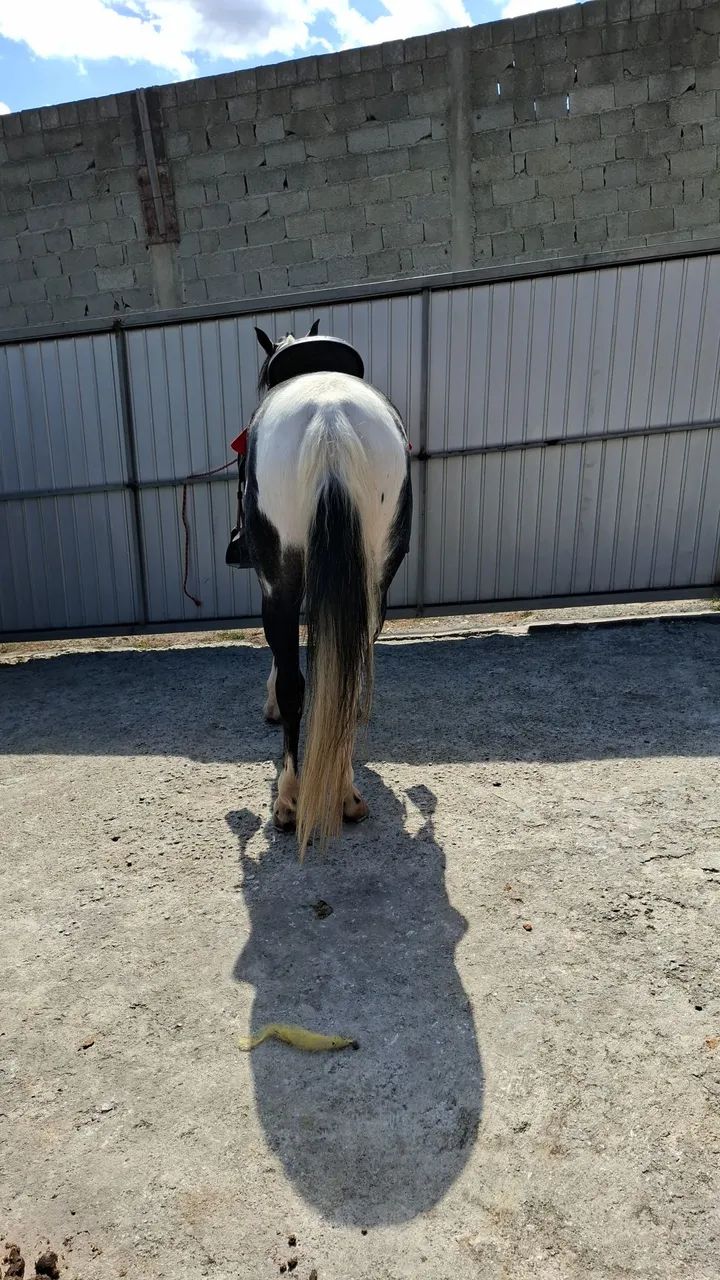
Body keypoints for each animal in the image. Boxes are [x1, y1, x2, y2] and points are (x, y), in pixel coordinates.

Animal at [243, 322, 413, 856]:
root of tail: (330, 422)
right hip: (374, 578)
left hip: (279, 582)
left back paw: (290, 801)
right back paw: (345, 793)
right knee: (350, 670)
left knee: (297, 684)